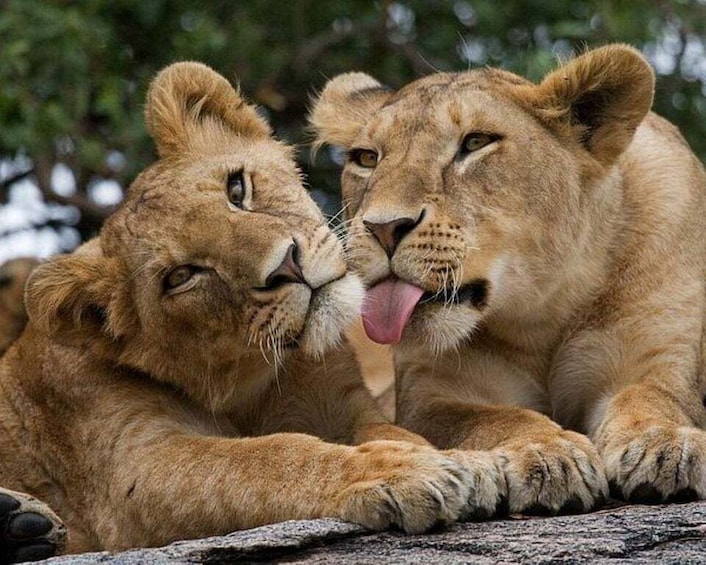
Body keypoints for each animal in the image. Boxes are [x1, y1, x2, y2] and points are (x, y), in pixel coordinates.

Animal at [0, 62, 509, 560]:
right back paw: (21, 522)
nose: (286, 265)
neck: (252, 385)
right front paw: (402, 471)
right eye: (181, 276)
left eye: (236, 187)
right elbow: (267, 459)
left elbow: (401, 433)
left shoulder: (346, 407)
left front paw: (470, 464)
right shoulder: (133, 469)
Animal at [310, 44, 706, 515]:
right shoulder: (431, 397)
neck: (542, 312)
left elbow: (648, 398)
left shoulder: (653, 360)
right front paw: (548, 455)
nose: (384, 227)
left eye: (475, 142)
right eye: (367, 158)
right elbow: (496, 417)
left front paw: (665, 445)